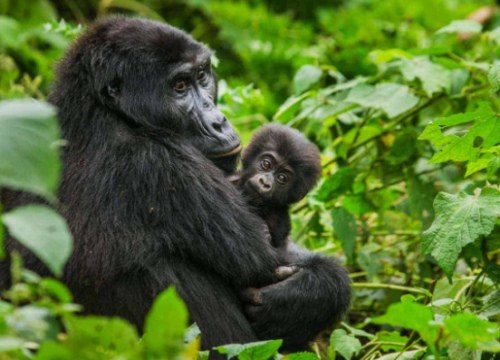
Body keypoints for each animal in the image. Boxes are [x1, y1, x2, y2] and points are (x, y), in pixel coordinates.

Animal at [0, 17, 352, 354]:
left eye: (202, 75)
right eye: (179, 86)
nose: (218, 122)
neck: (103, 111)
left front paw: (303, 295)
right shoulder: (164, 163)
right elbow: (265, 261)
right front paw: (309, 294)